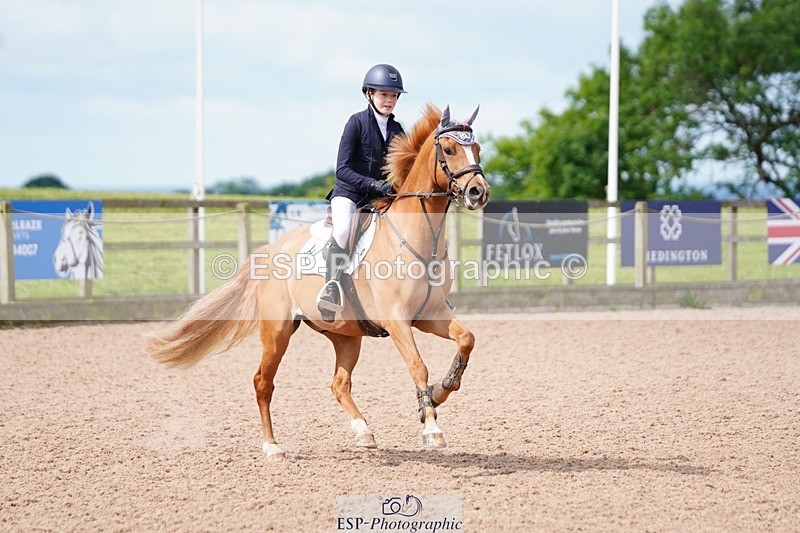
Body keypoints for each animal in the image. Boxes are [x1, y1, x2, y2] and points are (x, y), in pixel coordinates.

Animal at [148, 104, 491, 460]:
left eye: (478, 149)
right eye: (448, 150)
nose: (479, 192)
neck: (417, 239)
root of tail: (272, 250)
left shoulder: (429, 315)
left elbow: (467, 339)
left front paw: (440, 391)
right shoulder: (397, 320)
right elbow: (418, 366)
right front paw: (432, 428)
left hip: (346, 335)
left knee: (339, 383)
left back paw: (364, 432)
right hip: (277, 332)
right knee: (263, 382)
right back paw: (272, 447)